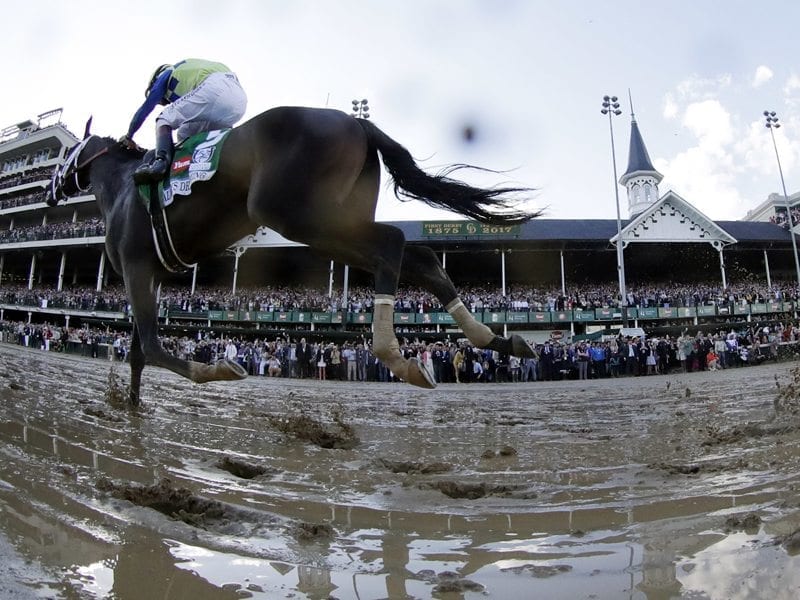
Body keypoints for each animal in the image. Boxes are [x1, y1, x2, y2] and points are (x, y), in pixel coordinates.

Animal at [48, 106, 536, 406]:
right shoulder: (149, 273)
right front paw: (130, 408)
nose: (48, 191)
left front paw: (220, 368)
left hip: (300, 216)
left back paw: (394, 353)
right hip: (333, 219)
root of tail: (357, 122)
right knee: (423, 259)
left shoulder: (135, 268)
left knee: (392, 245)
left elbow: (150, 344)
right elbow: (137, 352)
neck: (122, 187)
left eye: (62, 155)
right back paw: (495, 339)